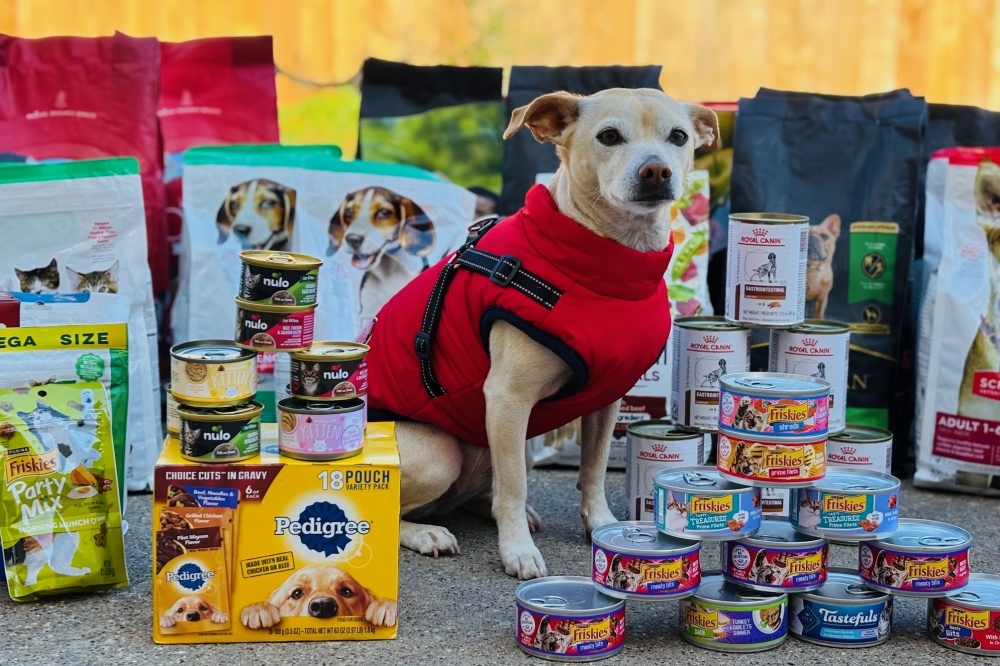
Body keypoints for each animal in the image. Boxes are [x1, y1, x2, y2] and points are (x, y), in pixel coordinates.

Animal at [392, 87, 720, 576]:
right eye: (609, 136)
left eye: (678, 137)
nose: (656, 170)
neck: (611, 265)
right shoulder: (507, 399)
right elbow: (514, 488)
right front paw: (518, 551)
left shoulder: (606, 401)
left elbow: (594, 471)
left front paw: (601, 525)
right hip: (443, 453)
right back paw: (427, 531)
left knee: (476, 495)